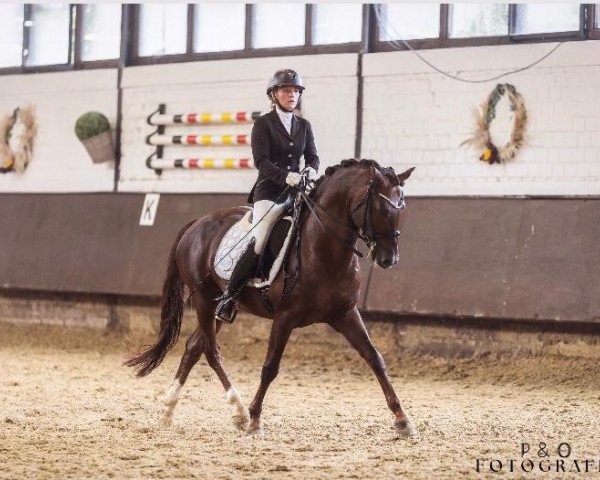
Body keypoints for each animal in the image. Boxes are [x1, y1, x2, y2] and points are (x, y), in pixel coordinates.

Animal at [125, 159, 418, 436]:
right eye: (382, 209)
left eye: (402, 208)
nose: (389, 259)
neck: (323, 250)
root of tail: (195, 224)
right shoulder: (284, 317)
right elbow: (270, 367)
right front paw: (255, 418)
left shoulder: (345, 314)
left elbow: (374, 358)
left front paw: (402, 419)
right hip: (204, 301)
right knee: (211, 351)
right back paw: (239, 410)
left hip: (219, 306)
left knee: (193, 347)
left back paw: (169, 410)